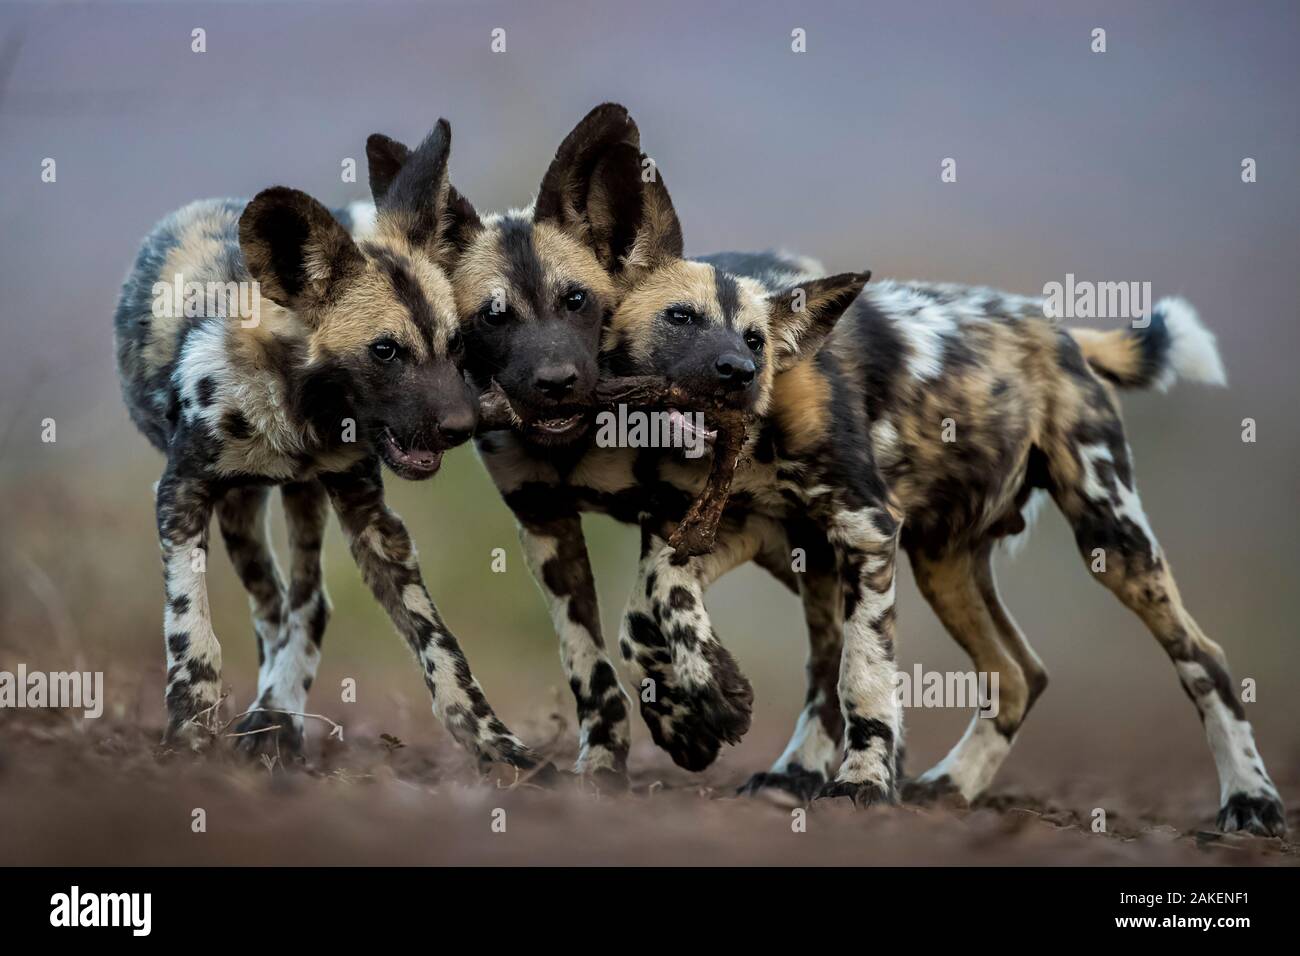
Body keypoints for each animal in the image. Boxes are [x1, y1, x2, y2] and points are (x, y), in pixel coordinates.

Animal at [105, 121, 543, 770]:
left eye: (457, 344)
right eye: (385, 351)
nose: (463, 426)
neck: (299, 419)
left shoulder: (370, 516)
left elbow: (439, 643)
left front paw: (498, 745)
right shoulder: (180, 494)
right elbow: (191, 625)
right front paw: (189, 727)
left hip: (300, 499)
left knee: (307, 606)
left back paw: (278, 715)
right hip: (242, 509)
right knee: (271, 608)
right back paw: (266, 712)